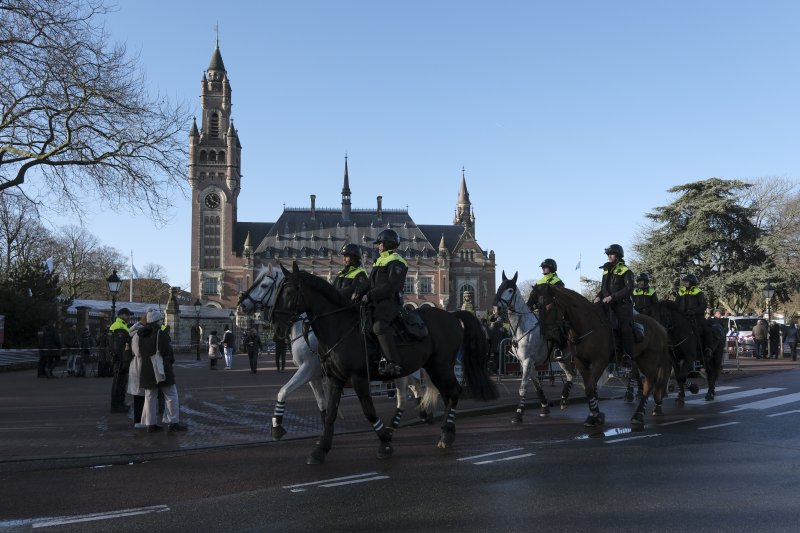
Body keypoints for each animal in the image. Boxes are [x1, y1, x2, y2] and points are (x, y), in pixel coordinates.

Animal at [239, 264, 432, 438]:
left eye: (264, 285)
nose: (241, 304)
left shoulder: (309, 369)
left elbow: (283, 390)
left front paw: (277, 427)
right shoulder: (315, 376)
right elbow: (322, 404)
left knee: (405, 395)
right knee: (415, 388)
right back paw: (422, 414)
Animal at [270, 264, 494, 464]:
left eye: (289, 292)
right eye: (276, 289)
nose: (276, 328)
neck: (340, 327)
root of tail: (452, 315)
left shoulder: (356, 377)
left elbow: (368, 411)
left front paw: (384, 443)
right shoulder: (335, 378)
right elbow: (329, 413)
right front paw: (320, 449)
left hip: (441, 366)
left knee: (451, 392)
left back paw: (443, 433)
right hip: (430, 367)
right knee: (441, 394)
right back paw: (442, 430)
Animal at [490, 272, 580, 422]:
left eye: (510, 290)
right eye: (499, 288)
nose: (495, 311)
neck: (522, 327)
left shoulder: (527, 361)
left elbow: (523, 387)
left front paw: (518, 413)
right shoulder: (525, 362)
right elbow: (536, 384)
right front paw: (544, 407)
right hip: (563, 359)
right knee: (571, 374)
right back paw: (564, 399)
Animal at [536, 284, 676, 430]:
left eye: (549, 306)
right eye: (538, 306)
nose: (545, 334)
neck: (587, 325)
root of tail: (660, 327)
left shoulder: (600, 362)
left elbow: (590, 388)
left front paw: (596, 416)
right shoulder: (582, 362)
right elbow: (590, 388)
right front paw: (595, 415)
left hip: (648, 361)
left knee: (649, 383)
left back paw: (638, 416)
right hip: (641, 360)